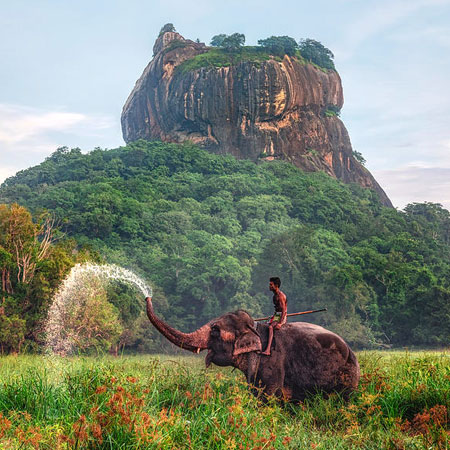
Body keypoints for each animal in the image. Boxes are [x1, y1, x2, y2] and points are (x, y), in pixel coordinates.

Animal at [146, 298, 360, 402]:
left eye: (215, 331)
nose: (147, 296)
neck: (257, 329)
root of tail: (352, 352)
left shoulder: (273, 362)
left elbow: (267, 395)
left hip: (346, 377)